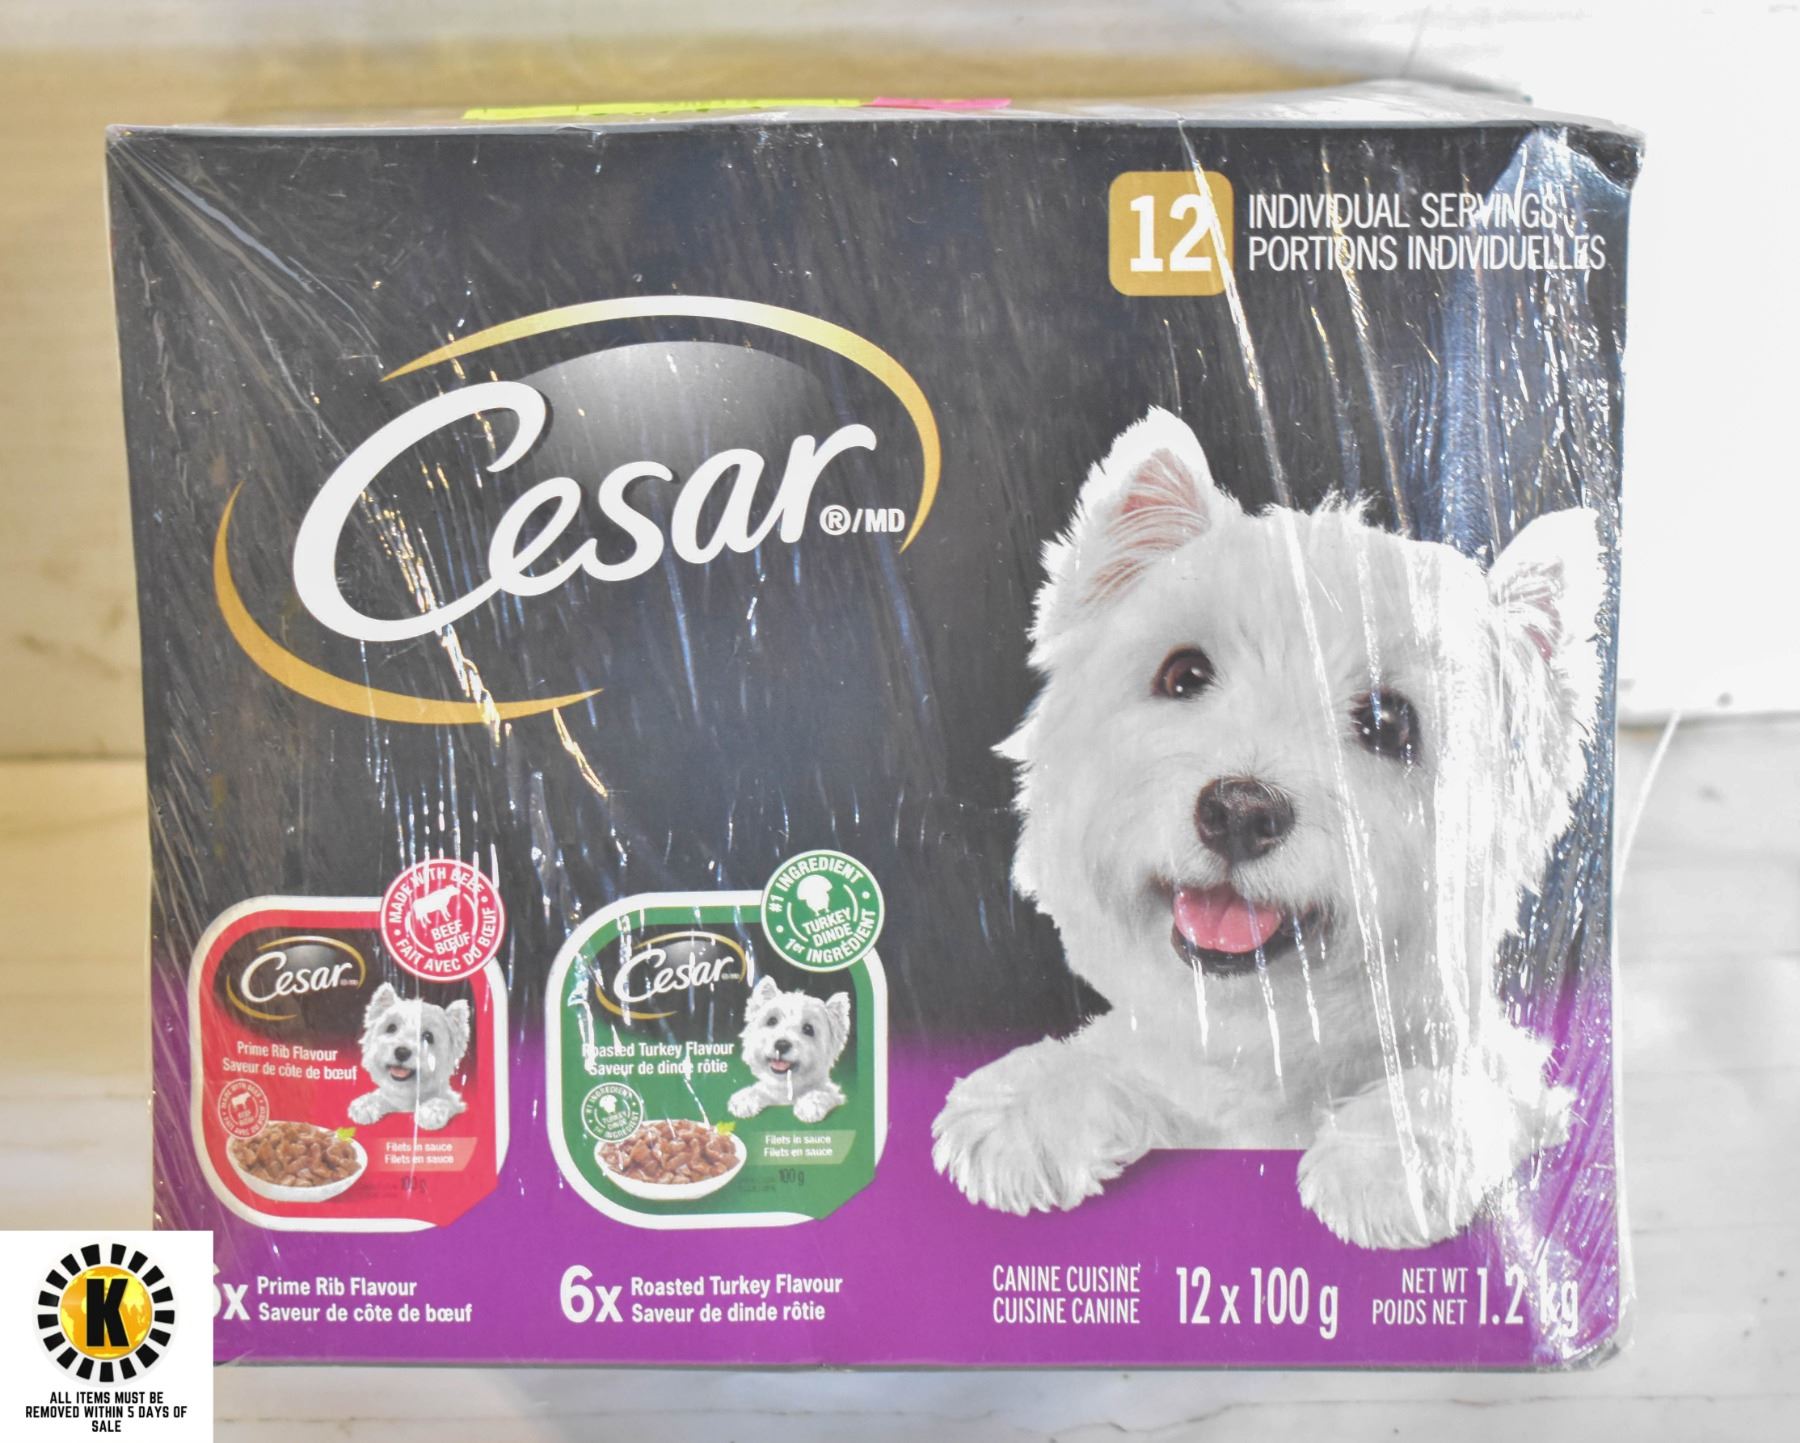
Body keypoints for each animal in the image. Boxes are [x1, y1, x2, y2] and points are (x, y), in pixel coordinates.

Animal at [347, 982, 472, 1131]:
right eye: (391, 1028)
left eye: (428, 1036)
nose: (402, 1052)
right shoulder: (393, 1098)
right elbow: (381, 1096)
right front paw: (365, 1105)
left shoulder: (453, 1100)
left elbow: (444, 1101)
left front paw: (430, 1112)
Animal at [729, 975, 852, 1125]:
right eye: (772, 1021)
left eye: (808, 1029)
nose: (781, 1045)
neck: (786, 1088)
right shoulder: (771, 1092)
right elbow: (760, 1090)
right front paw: (744, 1099)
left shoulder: (834, 1094)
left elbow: (823, 1093)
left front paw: (810, 1105)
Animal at [931, 406, 1603, 1250]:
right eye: (1183, 674)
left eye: (1391, 724)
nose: (1239, 812)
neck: (1270, 1045)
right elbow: (1132, 1054)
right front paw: (1028, 1102)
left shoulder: (1504, 1074)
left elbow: (1471, 1091)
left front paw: (1391, 1156)